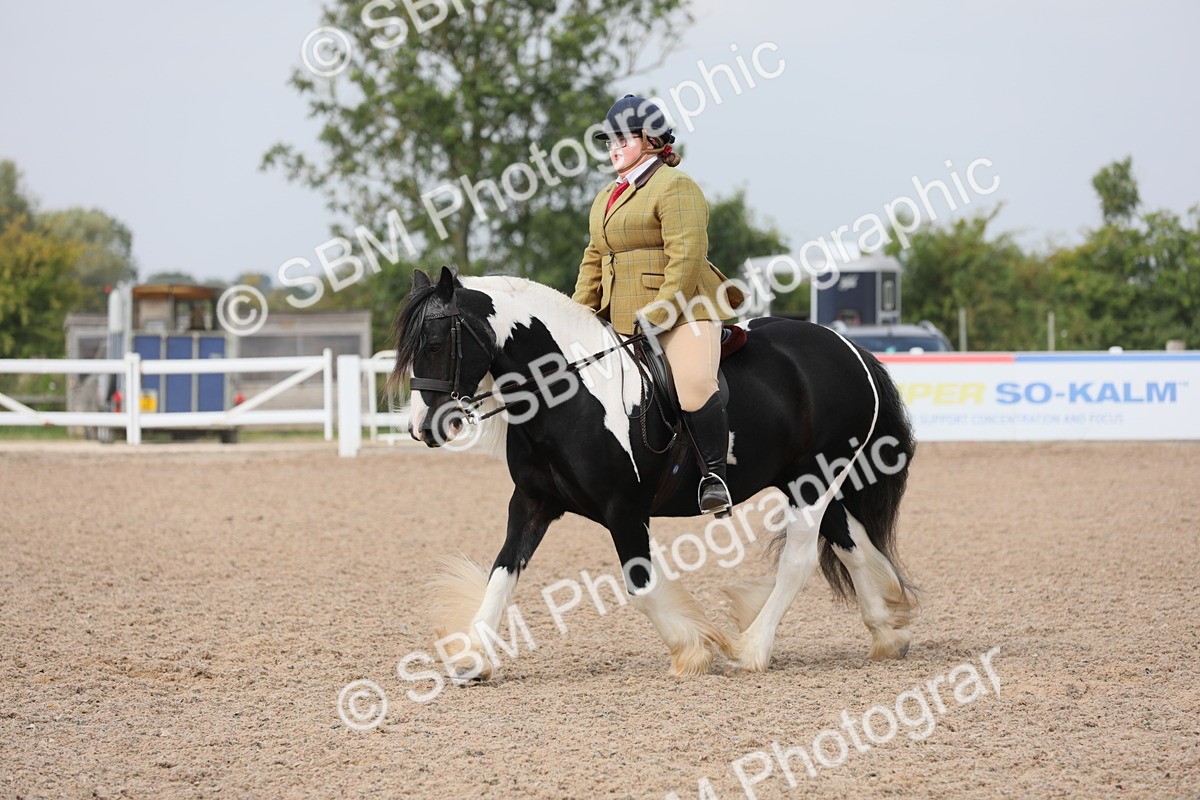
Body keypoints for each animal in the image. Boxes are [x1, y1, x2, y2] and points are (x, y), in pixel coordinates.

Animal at [392, 266, 917, 678]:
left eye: (435, 344)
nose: (421, 428)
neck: (569, 392)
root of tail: (849, 348)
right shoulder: (531, 503)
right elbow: (501, 575)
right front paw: (473, 658)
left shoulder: (624, 510)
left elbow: (641, 587)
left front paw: (693, 650)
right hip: (806, 479)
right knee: (850, 543)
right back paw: (886, 632)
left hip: (815, 479)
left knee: (800, 560)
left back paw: (751, 650)